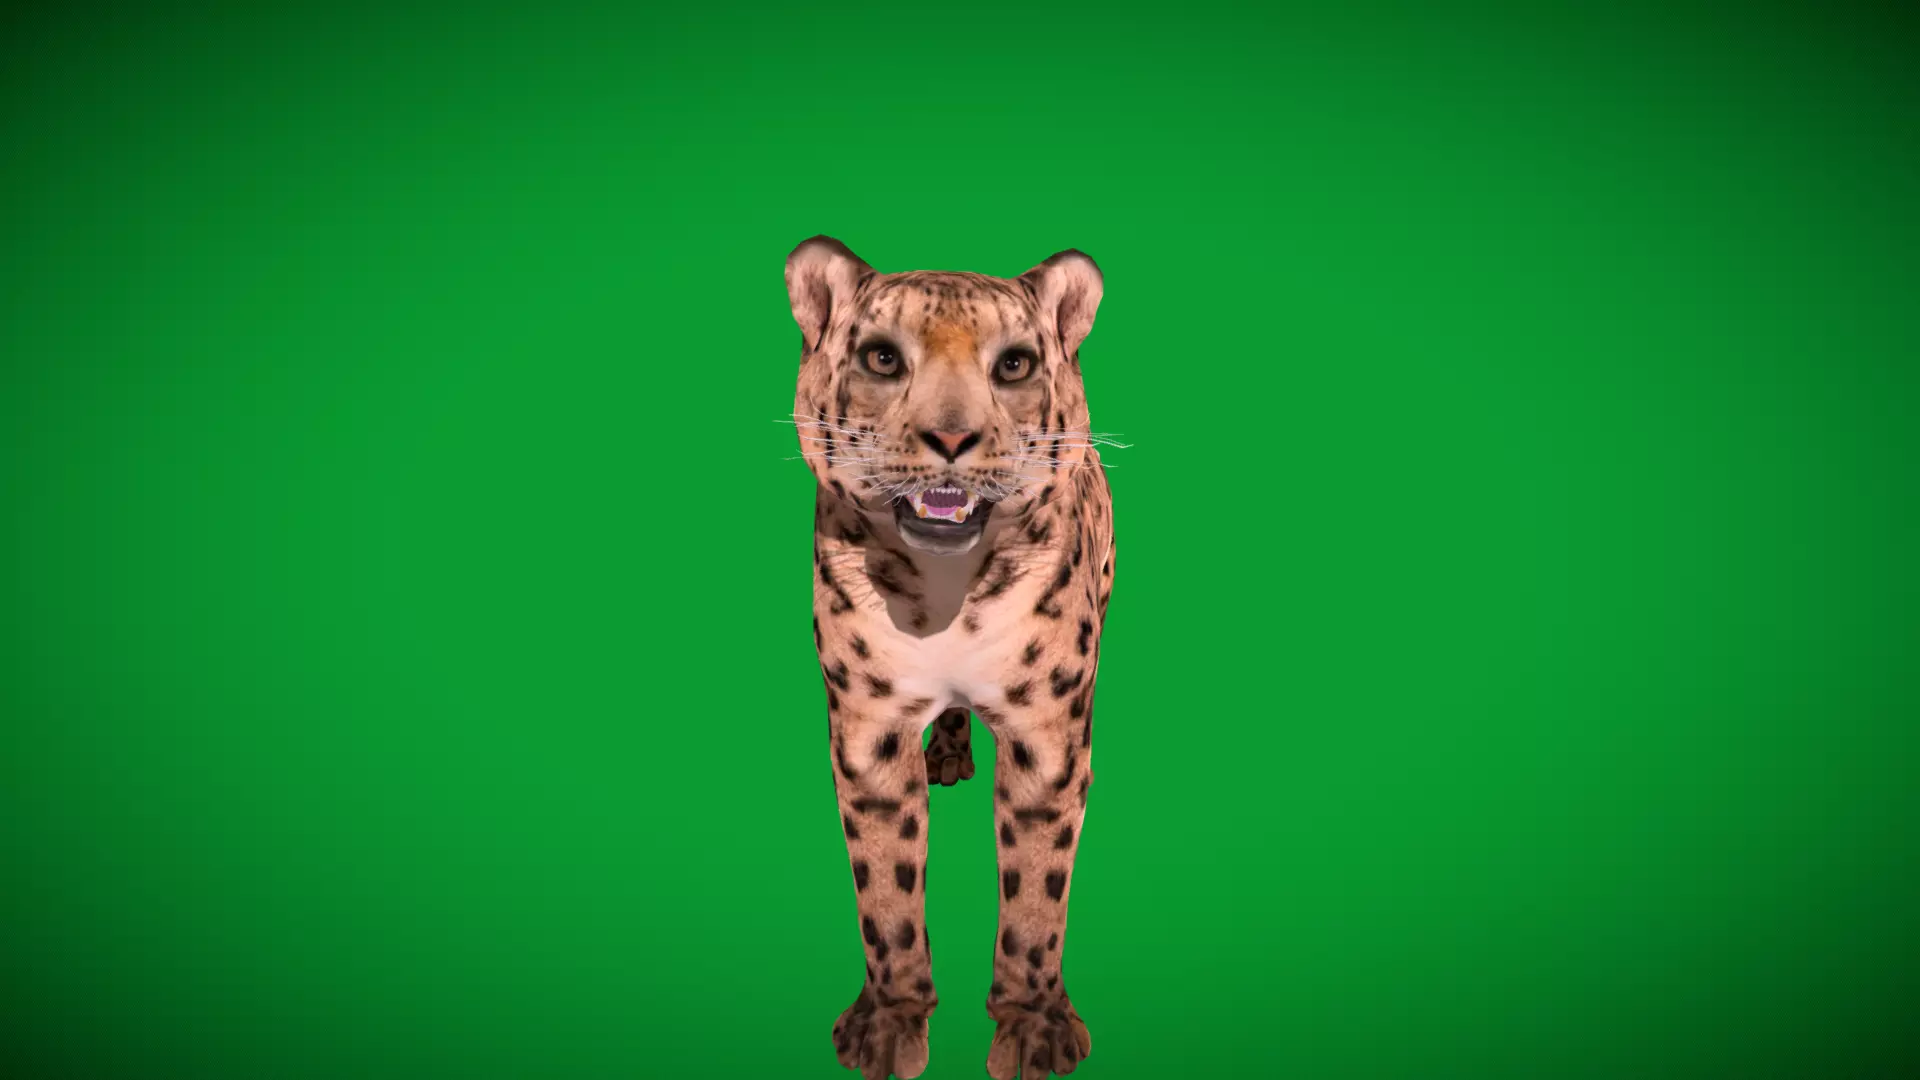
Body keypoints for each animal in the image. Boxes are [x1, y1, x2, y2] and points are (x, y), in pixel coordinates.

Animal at [785, 236, 1116, 1080]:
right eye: (881, 357)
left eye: (1014, 365)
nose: (952, 440)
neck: (948, 602)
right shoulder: (868, 730)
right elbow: (886, 892)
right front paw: (890, 1022)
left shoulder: (1049, 736)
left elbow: (1037, 891)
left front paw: (1034, 1028)